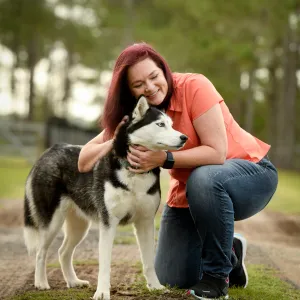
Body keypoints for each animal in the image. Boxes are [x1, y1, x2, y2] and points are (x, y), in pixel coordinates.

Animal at [23, 96, 188, 300]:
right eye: (160, 124)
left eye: (172, 125)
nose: (184, 137)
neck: (133, 173)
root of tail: (50, 150)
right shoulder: (109, 223)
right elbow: (104, 264)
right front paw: (102, 292)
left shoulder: (145, 222)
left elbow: (149, 261)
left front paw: (155, 286)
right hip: (52, 222)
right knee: (41, 251)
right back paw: (41, 283)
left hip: (79, 226)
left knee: (63, 252)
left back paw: (73, 281)